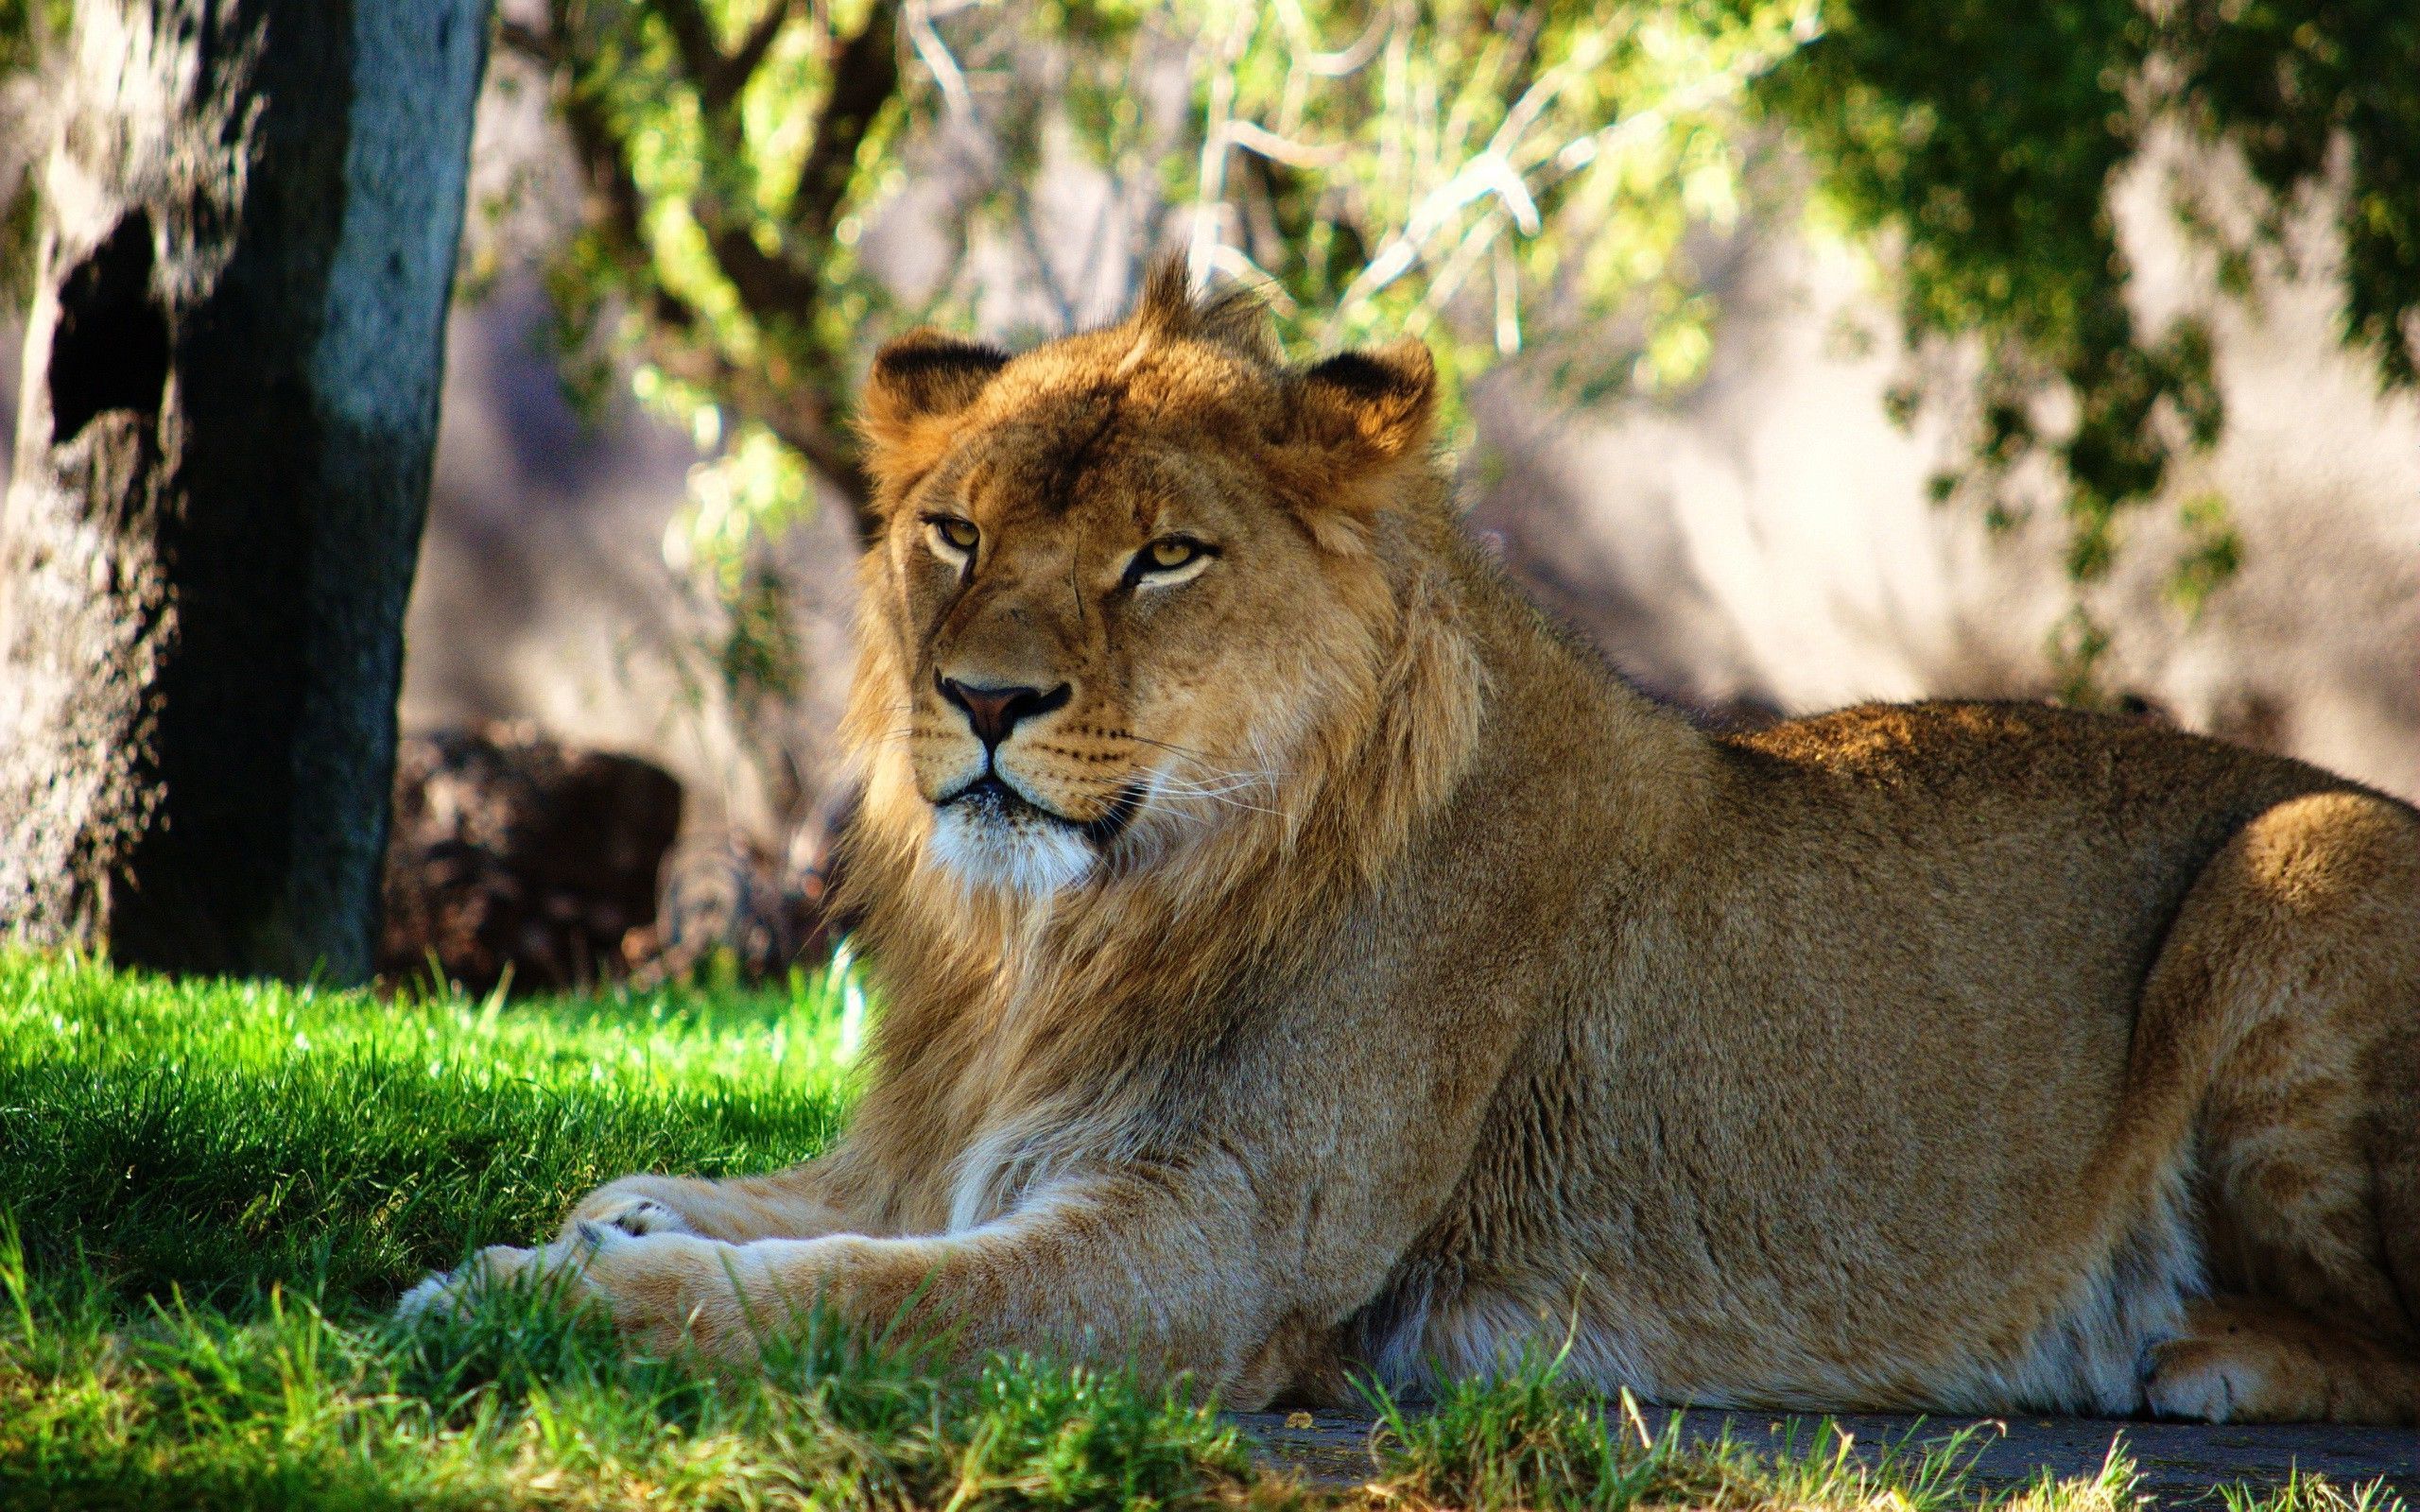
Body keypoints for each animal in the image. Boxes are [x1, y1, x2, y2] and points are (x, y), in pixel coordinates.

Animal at [401, 262, 2420, 1425]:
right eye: (956, 533)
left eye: (1164, 557)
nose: (978, 699)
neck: (1070, 934)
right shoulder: (968, 1138)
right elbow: (770, 1205)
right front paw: (610, 1219)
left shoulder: (1216, 1251)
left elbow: (851, 1301)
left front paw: (523, 1296)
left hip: (2303, 865)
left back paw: (2192, 1351)